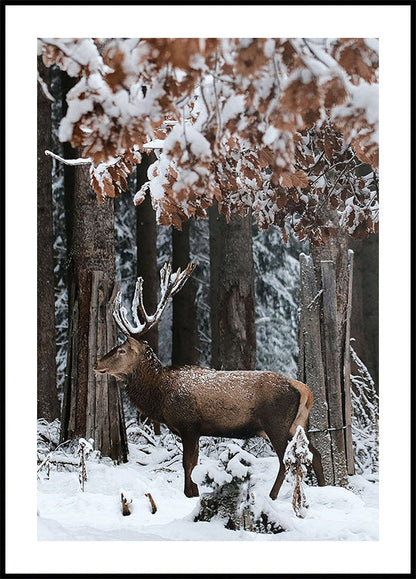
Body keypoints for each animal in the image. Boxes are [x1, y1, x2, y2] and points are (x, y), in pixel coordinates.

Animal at [94, 262, 324, 502]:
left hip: (276, 422)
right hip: (297, 424)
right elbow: (194, 464)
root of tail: (305, 390)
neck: (160, 394)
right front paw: (195, 493)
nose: (97, 362)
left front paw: (190, 494)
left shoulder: (189, 424)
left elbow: (188, 465)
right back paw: (324, 488)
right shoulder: (195, 429)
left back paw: (271, 496)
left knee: (285, 461)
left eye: (121, 350)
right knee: (315, 455)